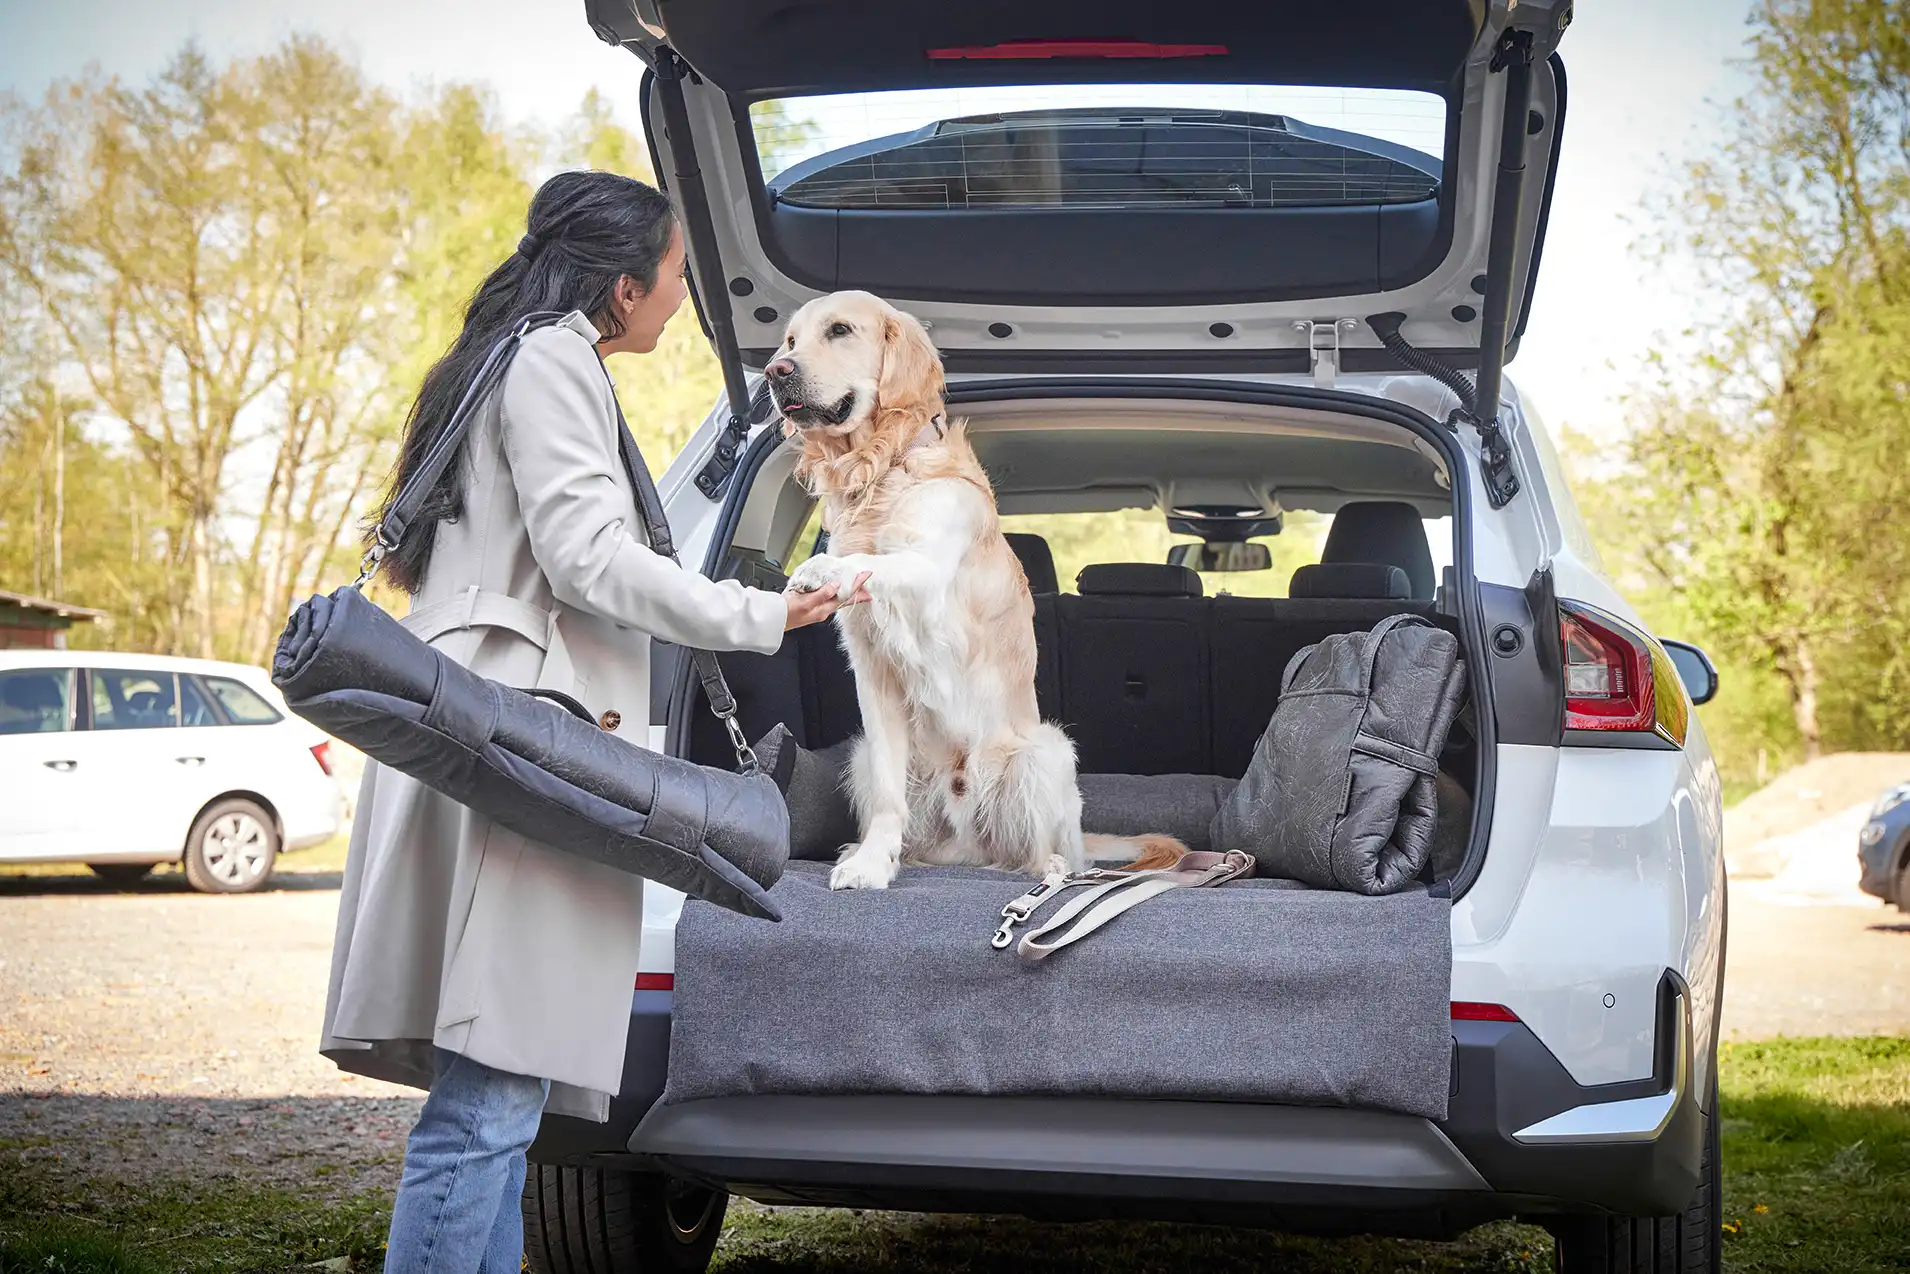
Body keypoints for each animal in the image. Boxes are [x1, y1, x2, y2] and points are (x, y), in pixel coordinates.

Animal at [767, 290, 1184, 893]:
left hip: (1045, 752)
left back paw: (1053, 870)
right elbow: (889, 795)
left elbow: (876, 561)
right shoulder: (874, 674)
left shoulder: (929, 570)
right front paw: (872, 864)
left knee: (1049, 854)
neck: (884, 467)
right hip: (866, 756)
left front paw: (823, 569)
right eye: (791, 340)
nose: (776, 371)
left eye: (840, 330)